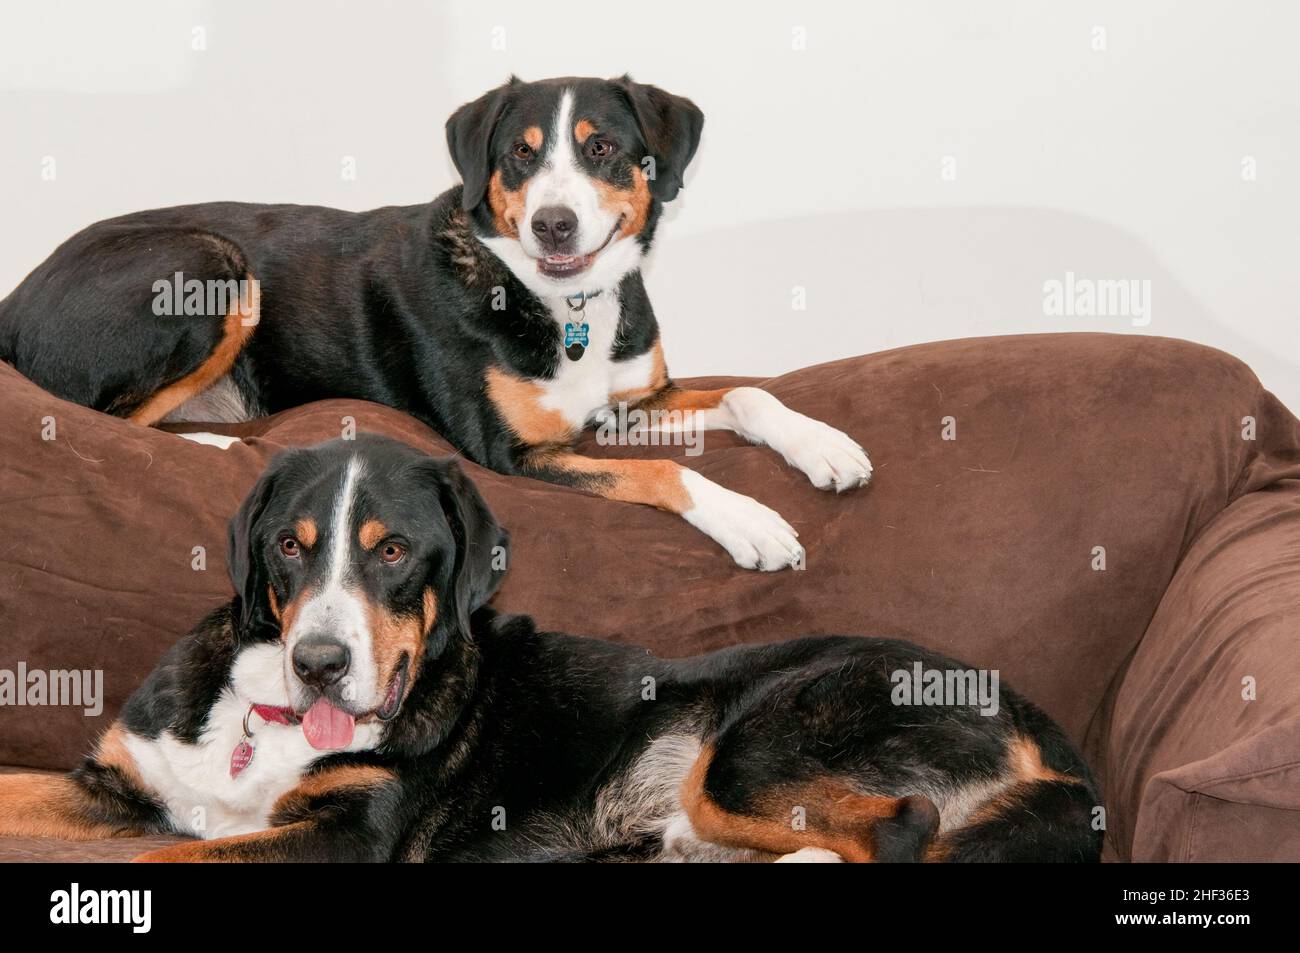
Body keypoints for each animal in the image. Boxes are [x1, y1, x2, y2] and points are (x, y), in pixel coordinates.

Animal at [0, 439, 1102, 863]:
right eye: (289, 546)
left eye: (392, 551)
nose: (318, 662)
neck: (263, 720)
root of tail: (1035, 717)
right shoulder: (120, 781)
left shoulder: (343, 835)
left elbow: (187, 852)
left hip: (754, 747)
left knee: (902, 827)